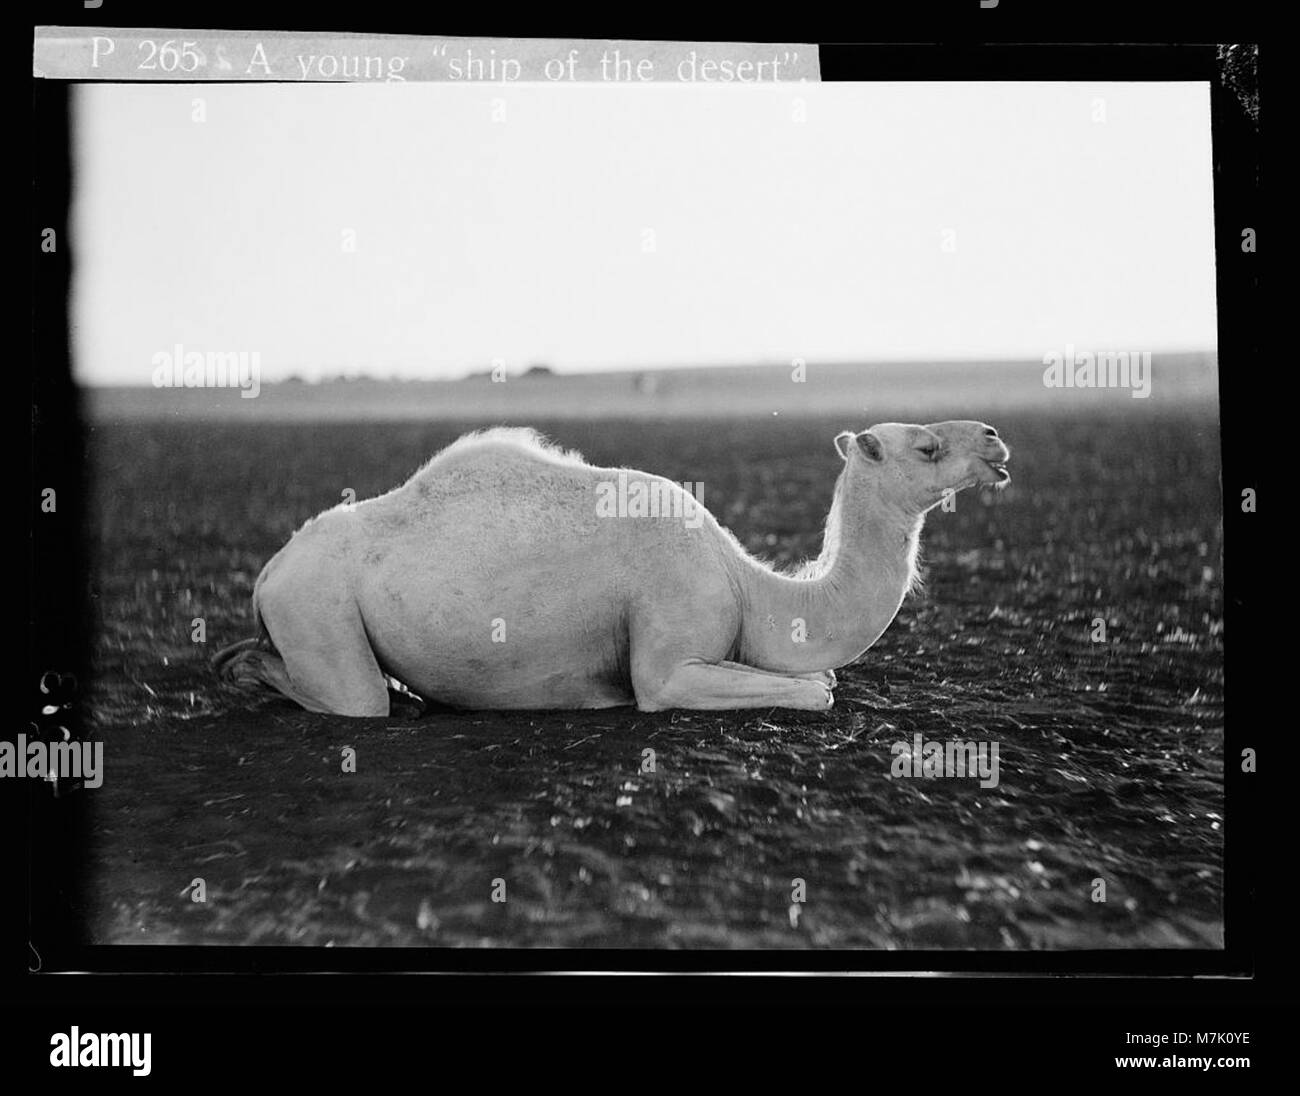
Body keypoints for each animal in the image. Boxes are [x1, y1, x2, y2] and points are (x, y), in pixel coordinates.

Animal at [213, 421, 1008, 717]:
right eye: (927, 448)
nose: (997, 440)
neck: (748, 585)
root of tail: (267, 573)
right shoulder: (670, 652)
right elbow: (817, 689)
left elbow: (825, 679)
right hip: (315, 608)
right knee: (352, 697)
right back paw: (243, 667)